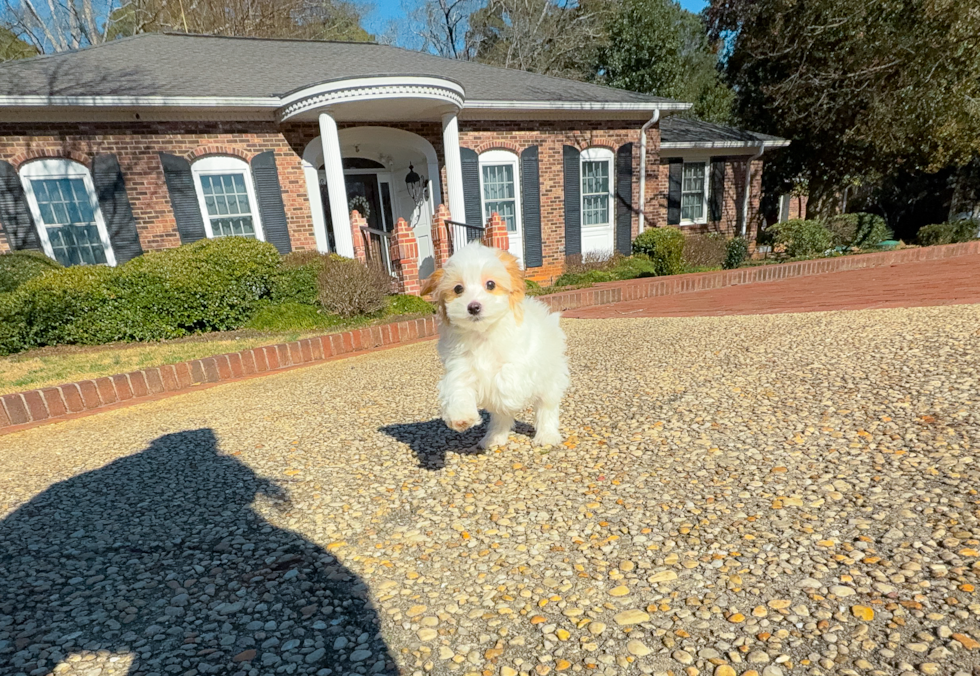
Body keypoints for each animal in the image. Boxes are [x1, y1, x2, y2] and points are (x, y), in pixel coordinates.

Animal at [424, 240, 576, 446]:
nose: (473, 307)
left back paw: (546, 435)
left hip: (550, 379)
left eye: (490, 284)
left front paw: (501, 395)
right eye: (458, 289)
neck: (483, 334)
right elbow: (457, 386)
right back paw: (494, 437)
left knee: (547, 408)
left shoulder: (518, 363)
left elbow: (505, 380)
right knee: (500, 417)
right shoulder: (461, 365)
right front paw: (461, 416)